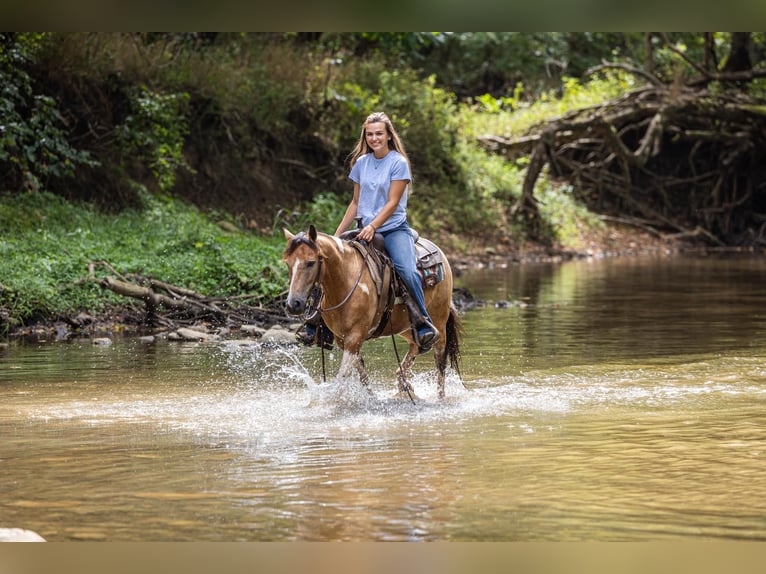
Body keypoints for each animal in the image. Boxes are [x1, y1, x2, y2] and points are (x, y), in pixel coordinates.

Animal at [282, 225, 462, 400]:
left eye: (311, 263)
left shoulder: (354, 337)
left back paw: (439, 398)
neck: (346, 279)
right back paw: (404, 384)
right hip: (405, 326)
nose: (293, 304)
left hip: (439, 321)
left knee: (440, 363)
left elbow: (341, 379)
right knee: (416, 344)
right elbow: (362, 374)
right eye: (288, 264)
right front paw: (372, 398)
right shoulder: (342, 339)